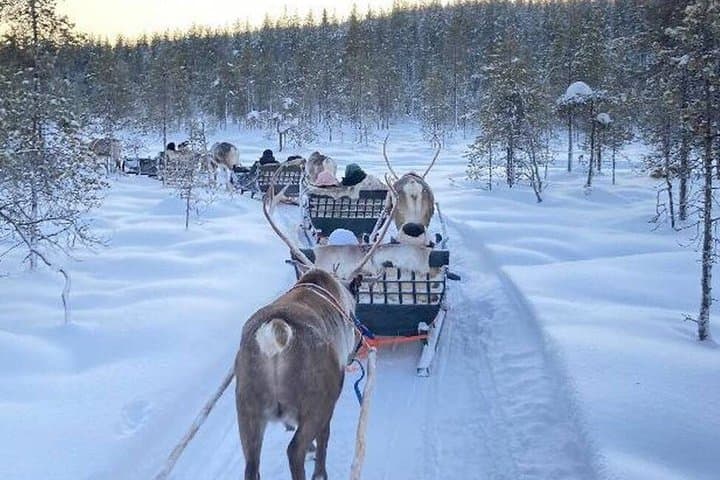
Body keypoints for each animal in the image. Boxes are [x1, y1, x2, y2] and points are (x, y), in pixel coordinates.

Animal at [235, 168, 395, 480]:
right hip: (316, 400)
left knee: (251, 465)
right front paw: (319, 467)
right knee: (294, 450)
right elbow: (325, 439)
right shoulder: (331, 398)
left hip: (246, 407)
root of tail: (276, 335)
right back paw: (316, 470)